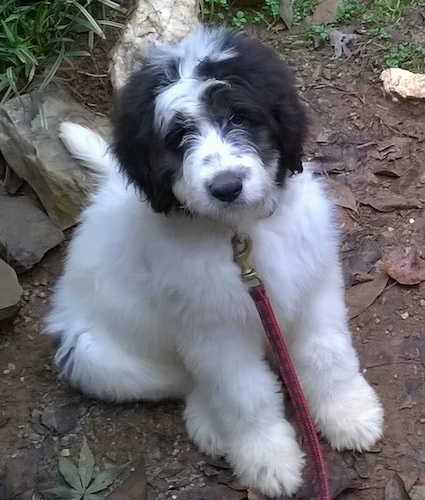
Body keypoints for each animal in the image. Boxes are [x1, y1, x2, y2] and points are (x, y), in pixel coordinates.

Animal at [47, 28, 384, 500]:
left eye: (239, 118)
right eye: (177, 137)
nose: (226, 187)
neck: (240, 233)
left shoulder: (315, 285)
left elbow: (327, 352)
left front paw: (349, 414)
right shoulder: (212, 328)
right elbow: (242, 392)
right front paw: (269, 459)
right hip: (91, 355)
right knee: (189, 382)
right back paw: (209, 420)